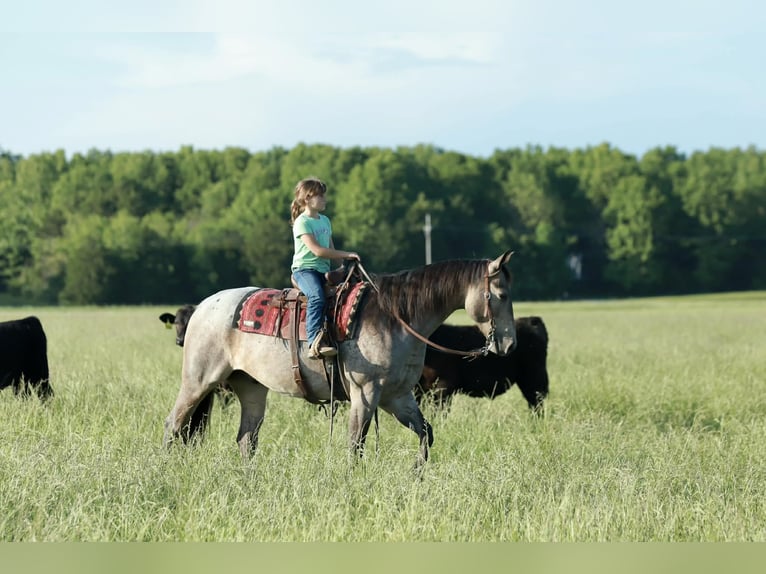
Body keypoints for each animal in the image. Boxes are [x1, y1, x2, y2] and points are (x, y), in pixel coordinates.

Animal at [163, 250, 517, 469]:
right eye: (501, 295)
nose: (510, 344)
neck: (396, 316)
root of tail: (202, 307)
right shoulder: (365, 393)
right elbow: (355, 444)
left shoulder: (397, 396)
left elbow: (426, 434)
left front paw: (416, 472)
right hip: (198, 382)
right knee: (174, 425)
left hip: (251, 388)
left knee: (246, 439)